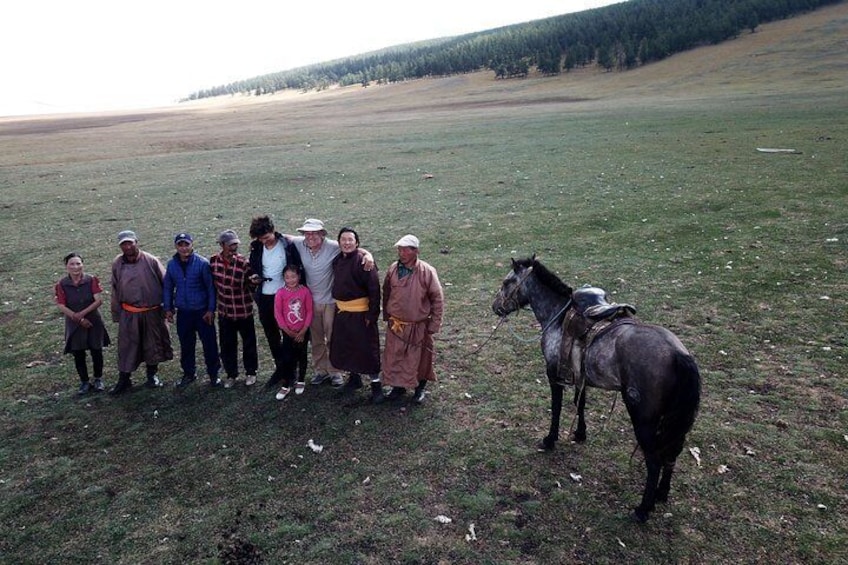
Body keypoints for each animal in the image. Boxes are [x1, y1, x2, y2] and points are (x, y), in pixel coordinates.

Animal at [490, 256, 704, 520]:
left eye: (507, 282)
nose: (495, 307)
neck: (558, 317)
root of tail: (678, 354)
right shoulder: (580, 377)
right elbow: (579, 403)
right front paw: (580, 434)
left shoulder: (553, 375)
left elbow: (557, 408)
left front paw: (550, 440)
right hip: (673, 421)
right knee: (672, 453)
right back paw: (662, 494)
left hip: (643, 419)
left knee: (654, 461)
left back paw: (643, 510)